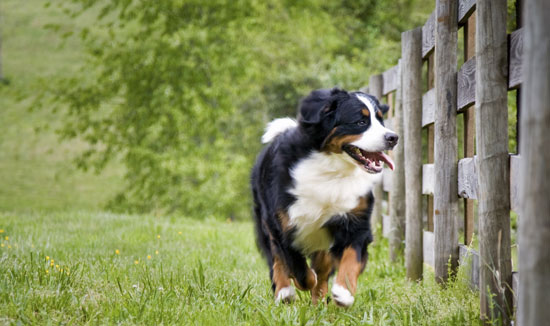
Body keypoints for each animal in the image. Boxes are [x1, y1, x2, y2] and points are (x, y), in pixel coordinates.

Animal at [252, 88, 398, 306]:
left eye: (381, 120)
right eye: (360, 122)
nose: (393, 137)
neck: (332, 170)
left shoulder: (355, 221)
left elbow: (351, 258)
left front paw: (344, 292)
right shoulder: (284, 224)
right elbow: (298, 268)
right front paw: (300, 282)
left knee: (322, 267)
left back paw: (318, 301)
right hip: (266, 223)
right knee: (277, 258)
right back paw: (284, 292)